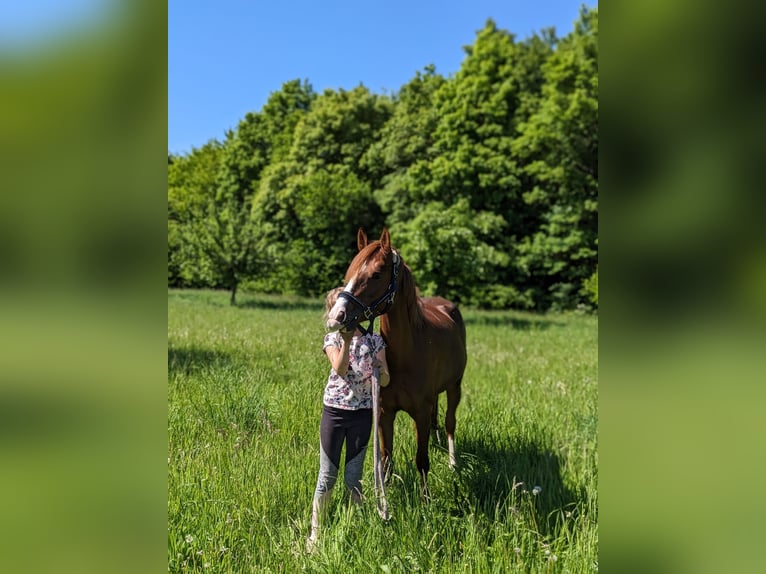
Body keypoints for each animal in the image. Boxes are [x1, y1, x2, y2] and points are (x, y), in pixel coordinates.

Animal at [326, 227, 468, 488]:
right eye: (349, 273)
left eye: (377, 274)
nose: (336, 316)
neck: (407, 355)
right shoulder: (385, 413)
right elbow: (386, 459)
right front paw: (385, 493)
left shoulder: (420, 412)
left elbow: (422, 461)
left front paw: (425, 498)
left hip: (455, 387)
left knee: (450, 422)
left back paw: (453, 463)